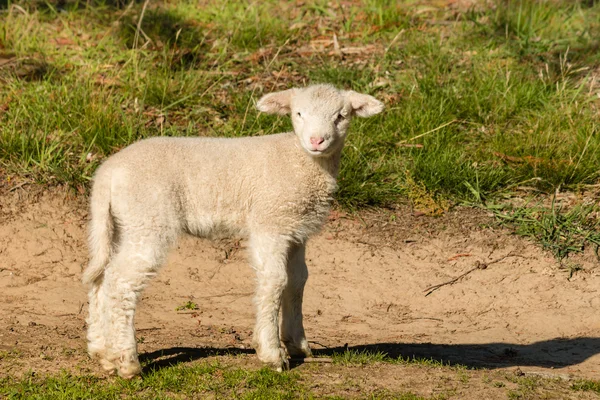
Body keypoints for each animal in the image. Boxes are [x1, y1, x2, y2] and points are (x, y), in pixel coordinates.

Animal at [81, 83, 384, 376]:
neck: (299, 160)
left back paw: (102, 351)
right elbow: (275, 280)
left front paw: (297, 344)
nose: (316, 141)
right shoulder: (269, 222)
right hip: (148, 218)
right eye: (299, 114)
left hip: (122, 223)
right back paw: (127, 363)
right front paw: (271, 353)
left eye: (340, 116)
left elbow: (298, 281)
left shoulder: (296, 229)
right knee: (120, 282)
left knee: (101, 278)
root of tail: (107, 173)